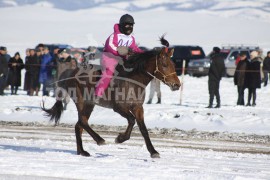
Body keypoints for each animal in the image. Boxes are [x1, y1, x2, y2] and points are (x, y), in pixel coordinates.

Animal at [42, 36, 180, 158]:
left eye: (173, 64)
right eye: (164, 65)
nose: (177, 85)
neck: (133, 80)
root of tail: (70, 72)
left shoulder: (138, 107)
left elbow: (143, 128)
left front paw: (153, 151)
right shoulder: (118, 107)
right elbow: (131, 120)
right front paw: (120, 138)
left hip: (89, 104)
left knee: (79, 125)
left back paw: (82, 151)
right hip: (81, 101)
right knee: (82, 121)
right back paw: (99, 140)